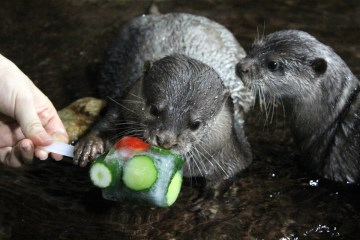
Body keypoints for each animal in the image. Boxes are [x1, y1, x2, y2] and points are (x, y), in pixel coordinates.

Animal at [74, 13, 253, 185]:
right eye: (154, 110)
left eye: (196, 124)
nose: (166, 141)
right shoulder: (124, 102)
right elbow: (107, 122)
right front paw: (90, 145)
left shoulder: (231, 155)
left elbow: (226, 176)